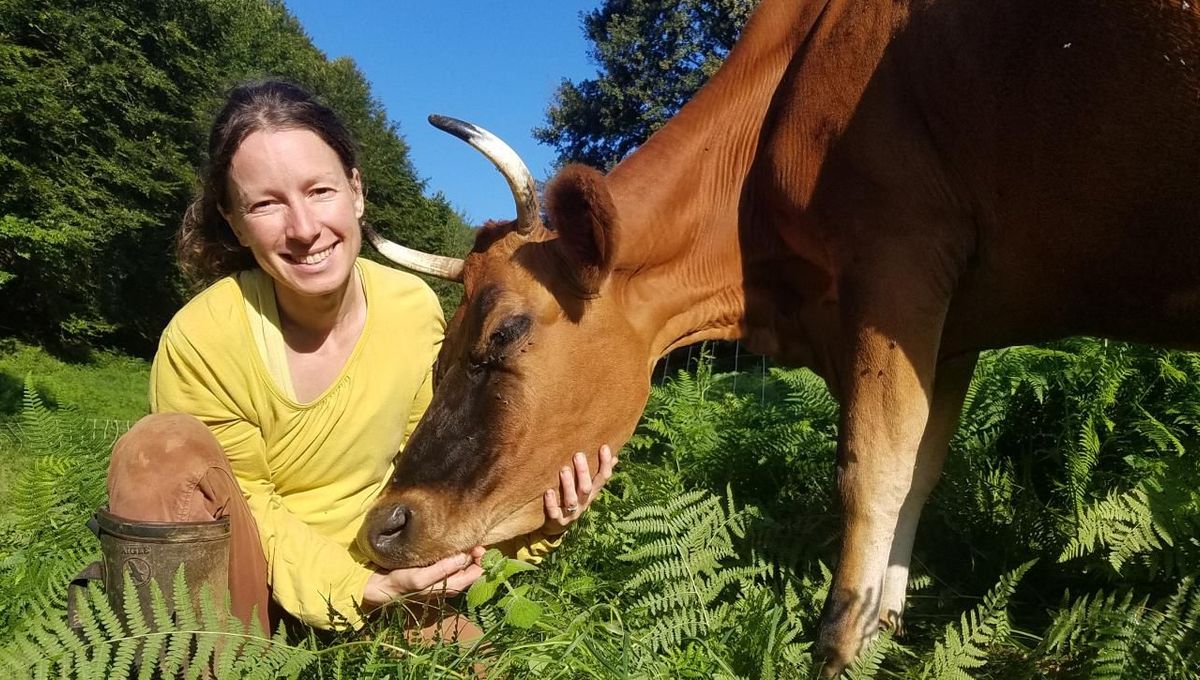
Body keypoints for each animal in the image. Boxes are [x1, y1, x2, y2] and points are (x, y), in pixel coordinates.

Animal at [355, 0, 1200, 671]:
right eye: (439, 351)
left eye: (504, 333)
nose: (383, 525)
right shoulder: (955, 327)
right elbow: (920, 474)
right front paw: (885, 636)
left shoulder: (896, 260)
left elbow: (872, 475)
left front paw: (840, 653)